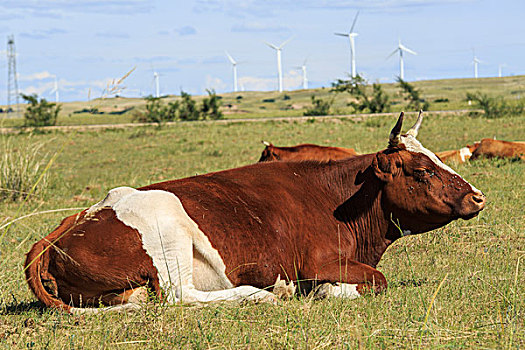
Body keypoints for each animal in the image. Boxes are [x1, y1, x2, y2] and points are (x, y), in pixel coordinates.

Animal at [23, 110, 484, 314]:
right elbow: (375, 281)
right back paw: (263, 294)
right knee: (179, 296)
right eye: (423, 171)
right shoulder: (319, 261)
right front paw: (325, 291)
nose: (477, 196)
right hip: (168, 235)